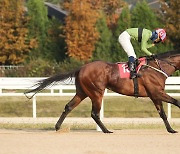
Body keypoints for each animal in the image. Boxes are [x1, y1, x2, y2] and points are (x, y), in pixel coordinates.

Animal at [24, 50, 179, 133]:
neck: (157, 67)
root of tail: (80, 68)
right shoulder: (156, 93)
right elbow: (177, 102)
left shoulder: (155, 95)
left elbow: (163, 113)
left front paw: (171, 130)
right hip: (96, 92)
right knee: (94, 113)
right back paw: (106, 130)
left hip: (82, 92)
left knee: (68, 106)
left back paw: (57, 127)